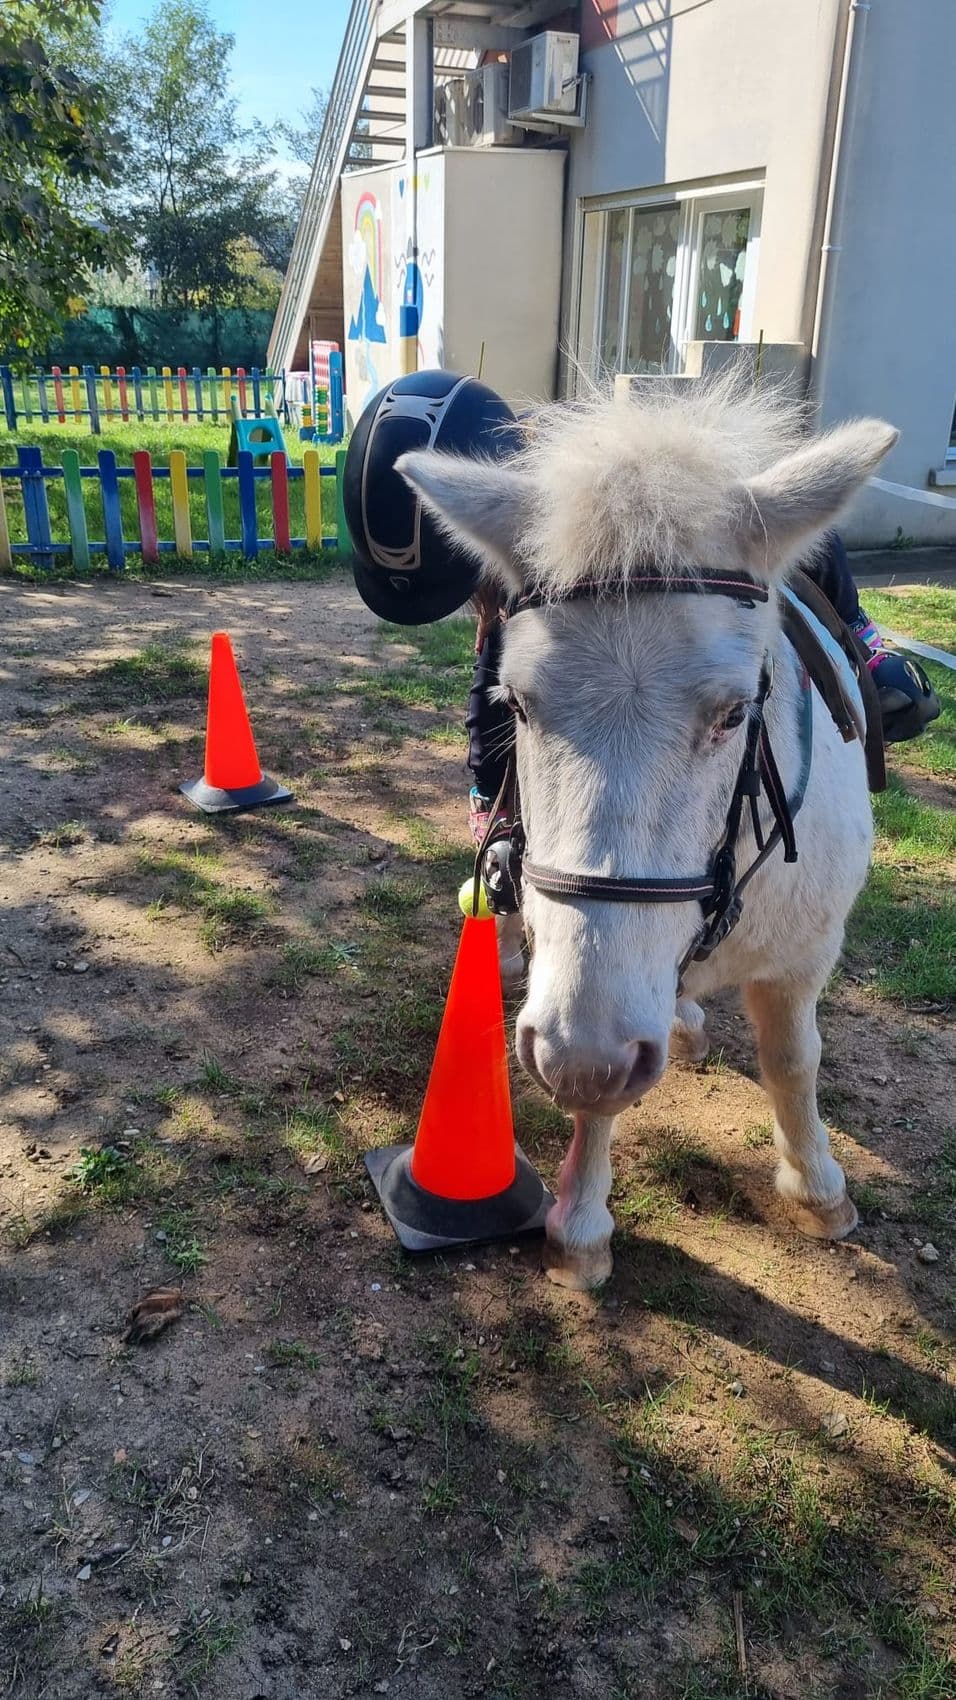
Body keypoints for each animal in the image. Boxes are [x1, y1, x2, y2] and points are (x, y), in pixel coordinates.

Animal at [398, 379, 898, 1289]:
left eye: (735, 713)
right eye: (517, 705)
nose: (579, 1055)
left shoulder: (806, 955)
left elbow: (794, 1058)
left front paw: (817, 1187)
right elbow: (600, 1103)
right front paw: (581, 1225)